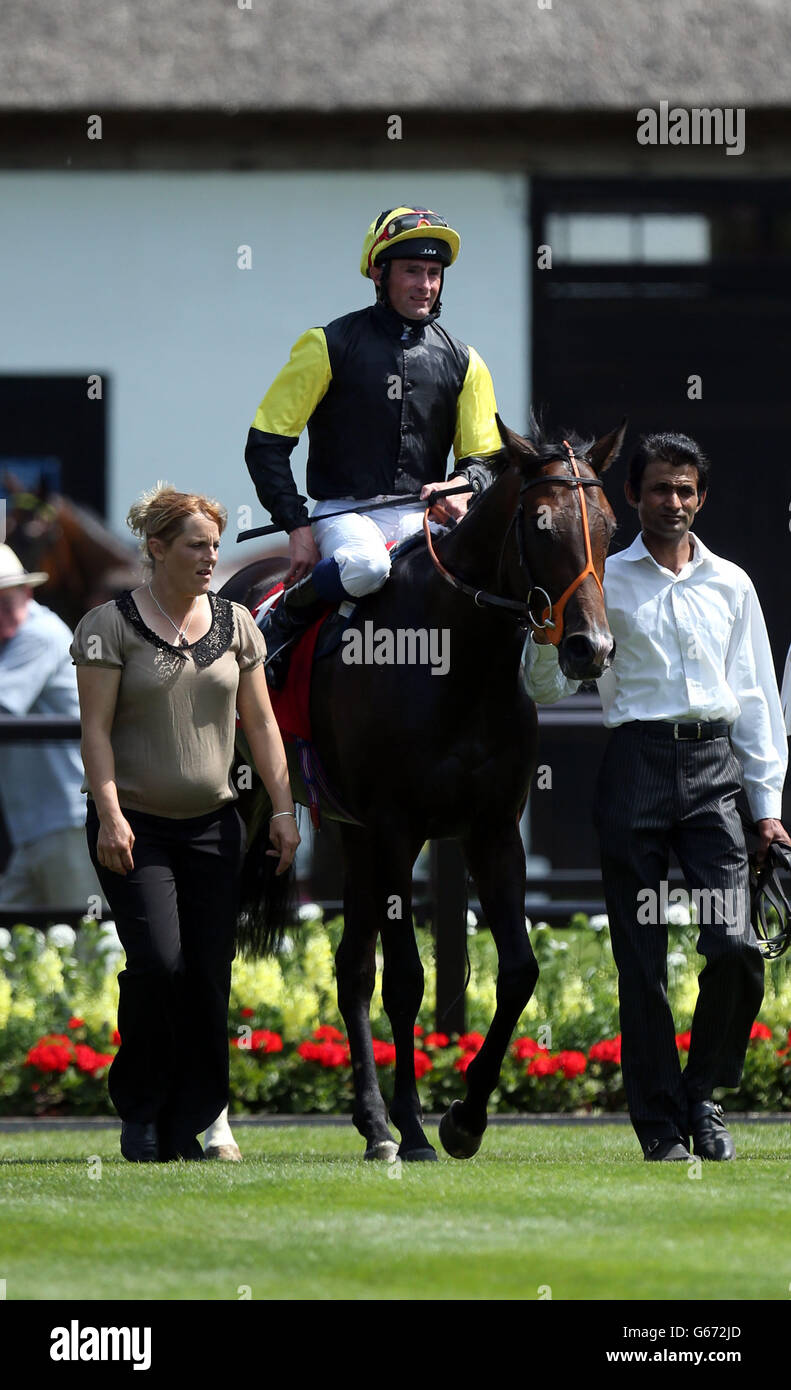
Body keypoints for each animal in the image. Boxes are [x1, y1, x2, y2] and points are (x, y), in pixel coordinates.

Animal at [216, 419, 622, 1162]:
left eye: (609, 527)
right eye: (542, 526)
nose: (591, 648)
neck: (452, 656)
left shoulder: (490, 831)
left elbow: (518, 970)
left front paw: (462, 1117)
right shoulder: (397, 828)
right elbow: (407, 980)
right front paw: (412, 1126)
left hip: (347, 834)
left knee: (348, 966)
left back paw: (367, 1118)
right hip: (247, 808)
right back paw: (222, 1125)